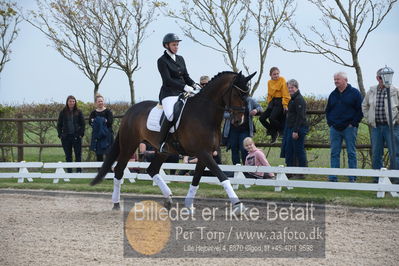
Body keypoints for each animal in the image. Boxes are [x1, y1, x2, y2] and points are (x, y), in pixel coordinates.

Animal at [90, 71, 256, 214]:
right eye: (238, 93)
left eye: (247, 94)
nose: (238, 121)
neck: (204, 114)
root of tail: (130, 111)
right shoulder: (204, 153)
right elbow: (222, 176)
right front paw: (239, 206)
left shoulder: (205, 154)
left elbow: (196, 179)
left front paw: (189, 206)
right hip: (129, 145)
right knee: (119, 170)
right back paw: (116, 204)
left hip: (163, 151)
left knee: (152, 170)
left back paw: (168, 199)